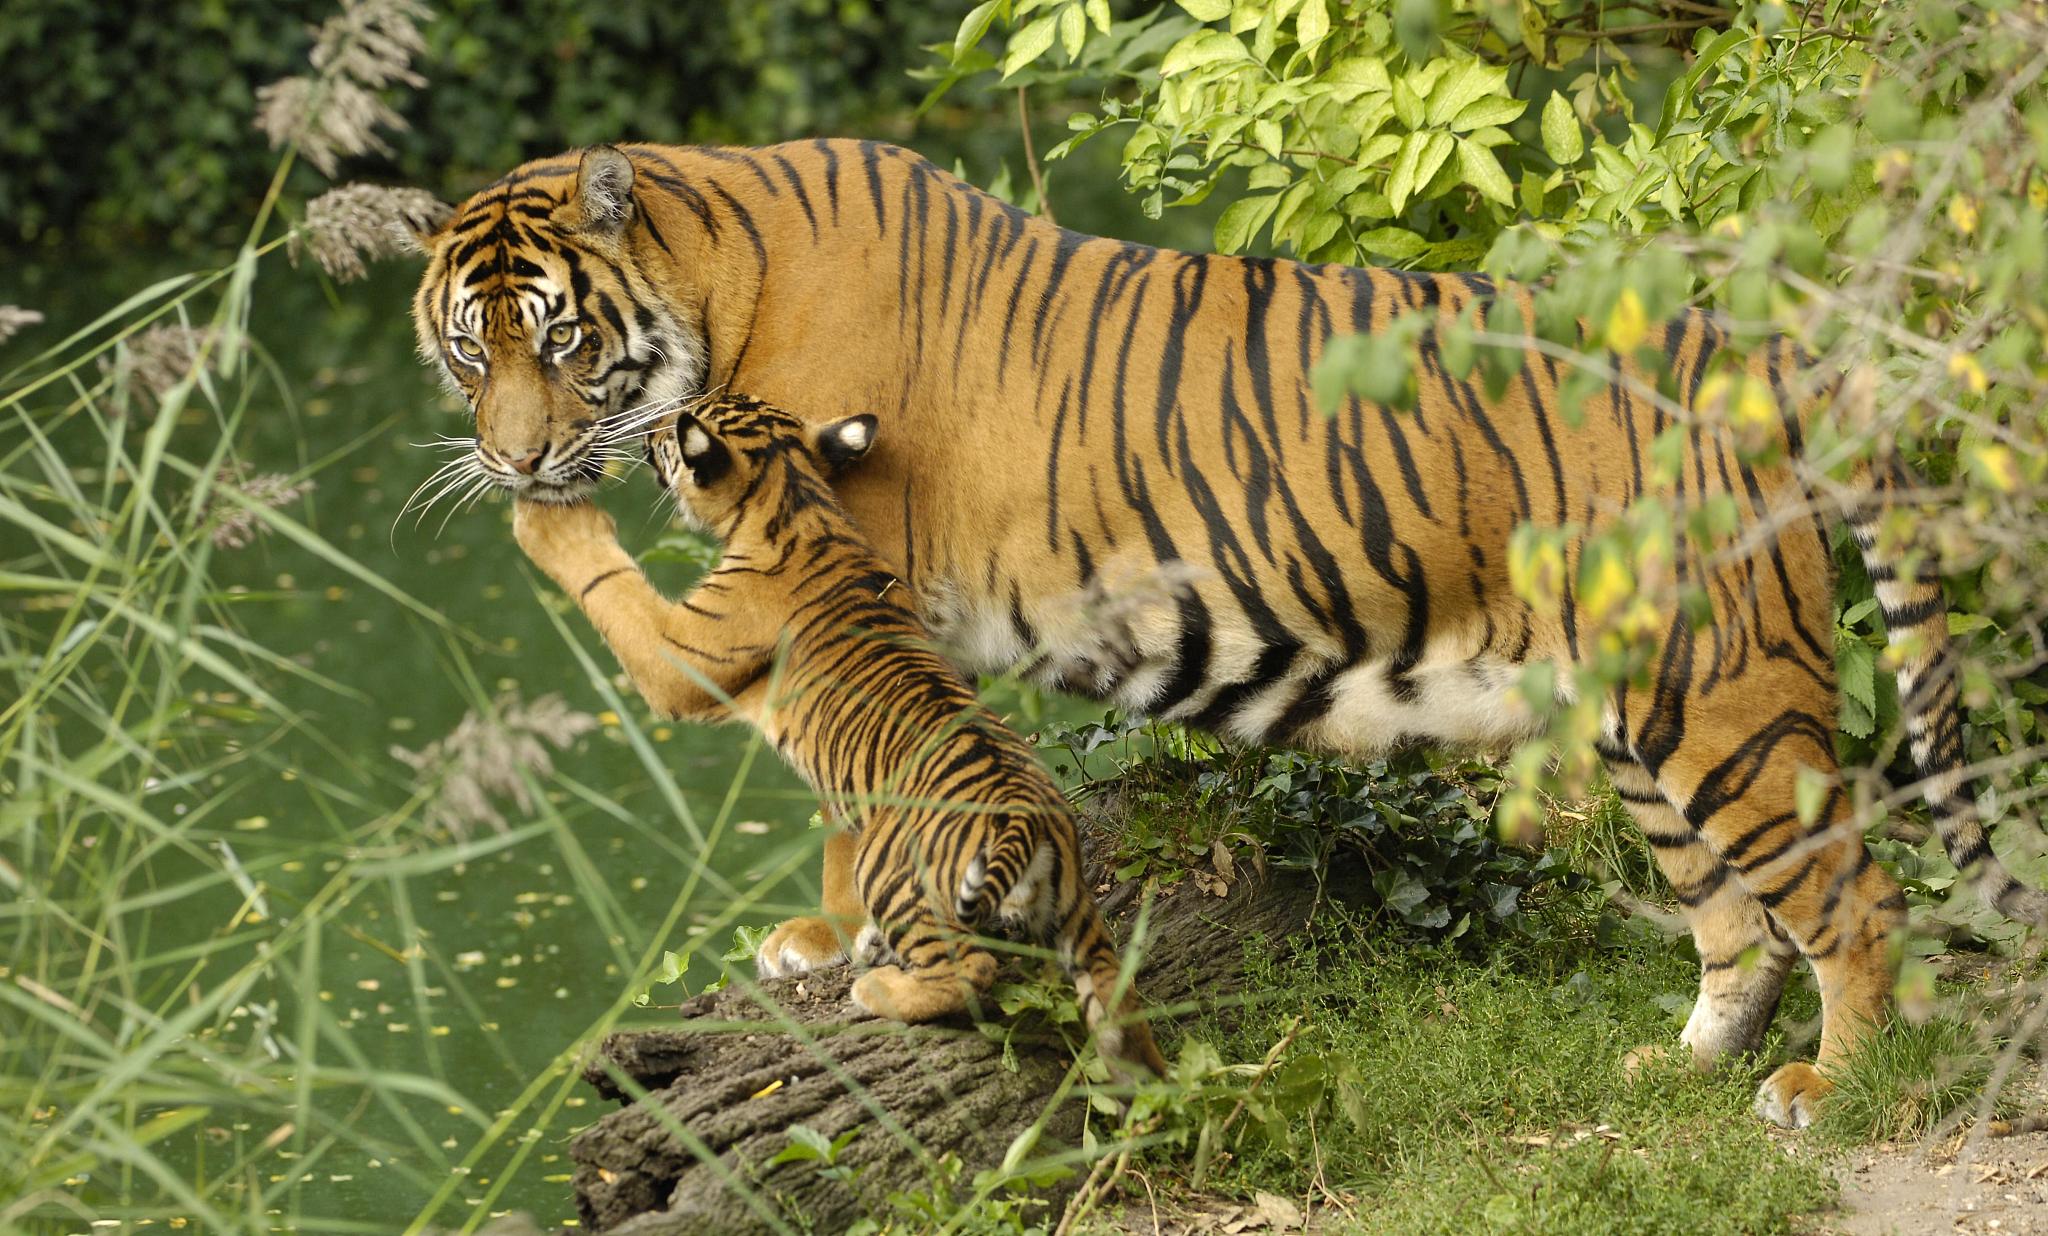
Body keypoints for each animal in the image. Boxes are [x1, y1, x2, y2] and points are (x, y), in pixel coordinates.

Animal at [411, 140, 2048, 1121]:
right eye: (465, 350)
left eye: (556, 337)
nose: (511, 455)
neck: (706, 279)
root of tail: (1746, 342)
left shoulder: (799, 601)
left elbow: (829, 772)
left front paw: (828, 937)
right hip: (1639, 715)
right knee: (1733, 917)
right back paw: (1681, 1066)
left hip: (1726, 702)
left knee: (1852, 899)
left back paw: (1825, 1093)